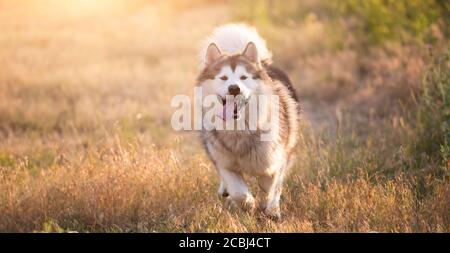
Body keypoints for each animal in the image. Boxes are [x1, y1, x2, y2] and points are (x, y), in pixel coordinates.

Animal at [196, 24, 298, 219]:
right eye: (223, 78)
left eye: (243, 77)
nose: (234, 88)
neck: (239, 130)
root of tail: (263, 63)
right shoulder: (226, 163)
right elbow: (238, 191)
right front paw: (249, 204)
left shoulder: (275, 159)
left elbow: (270, 185)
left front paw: (269, 208)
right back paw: (225, 191)